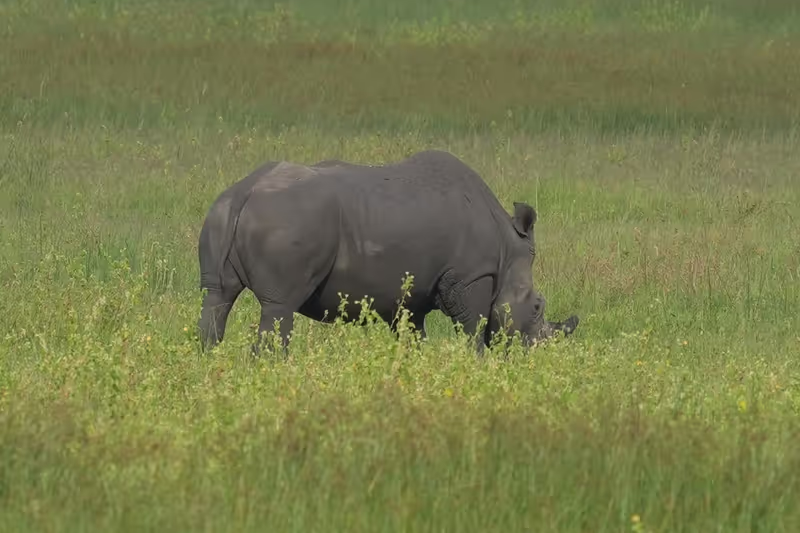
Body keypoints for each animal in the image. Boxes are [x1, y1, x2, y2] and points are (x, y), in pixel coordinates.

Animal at [197, 150, 578, 354]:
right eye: (537, 306)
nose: (537, 352)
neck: (506, 243)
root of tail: (244, 192)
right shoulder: (471, 276)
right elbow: (472, 331)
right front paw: (477, 366)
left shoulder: (411, 295)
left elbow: (413, 337)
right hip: (287, 221)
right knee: (279, 306)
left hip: (219, 212)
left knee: (217, 298)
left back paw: (208, 363)